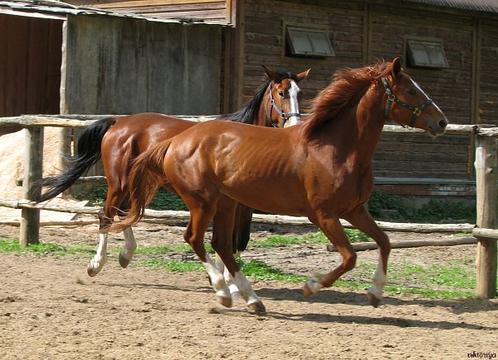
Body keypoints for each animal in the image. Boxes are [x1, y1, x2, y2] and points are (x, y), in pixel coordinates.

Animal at [39, 66, 310, 278]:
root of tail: (119, 122)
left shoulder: (241, 205)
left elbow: (235, 242)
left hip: (134, 183)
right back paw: (96, 264)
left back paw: (126, 255)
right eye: (282, 93)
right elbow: (227, 241)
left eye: (300, 94)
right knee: (106, 215)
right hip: (118, 182)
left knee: (126, 213)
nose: (295, 125)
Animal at [113, 57, 448, 314]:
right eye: (411, 90)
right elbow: (350, 257)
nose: (442, 122)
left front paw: (375, 293)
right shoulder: (323, 215)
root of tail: (176, 140)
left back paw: (253, 300)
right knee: (194, 239)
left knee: (221, 245)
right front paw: (311, 286)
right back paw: (223, 293)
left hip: (226, 203)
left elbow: (385, 242)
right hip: (202, 201)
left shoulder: (355, 210)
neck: (336, 148)